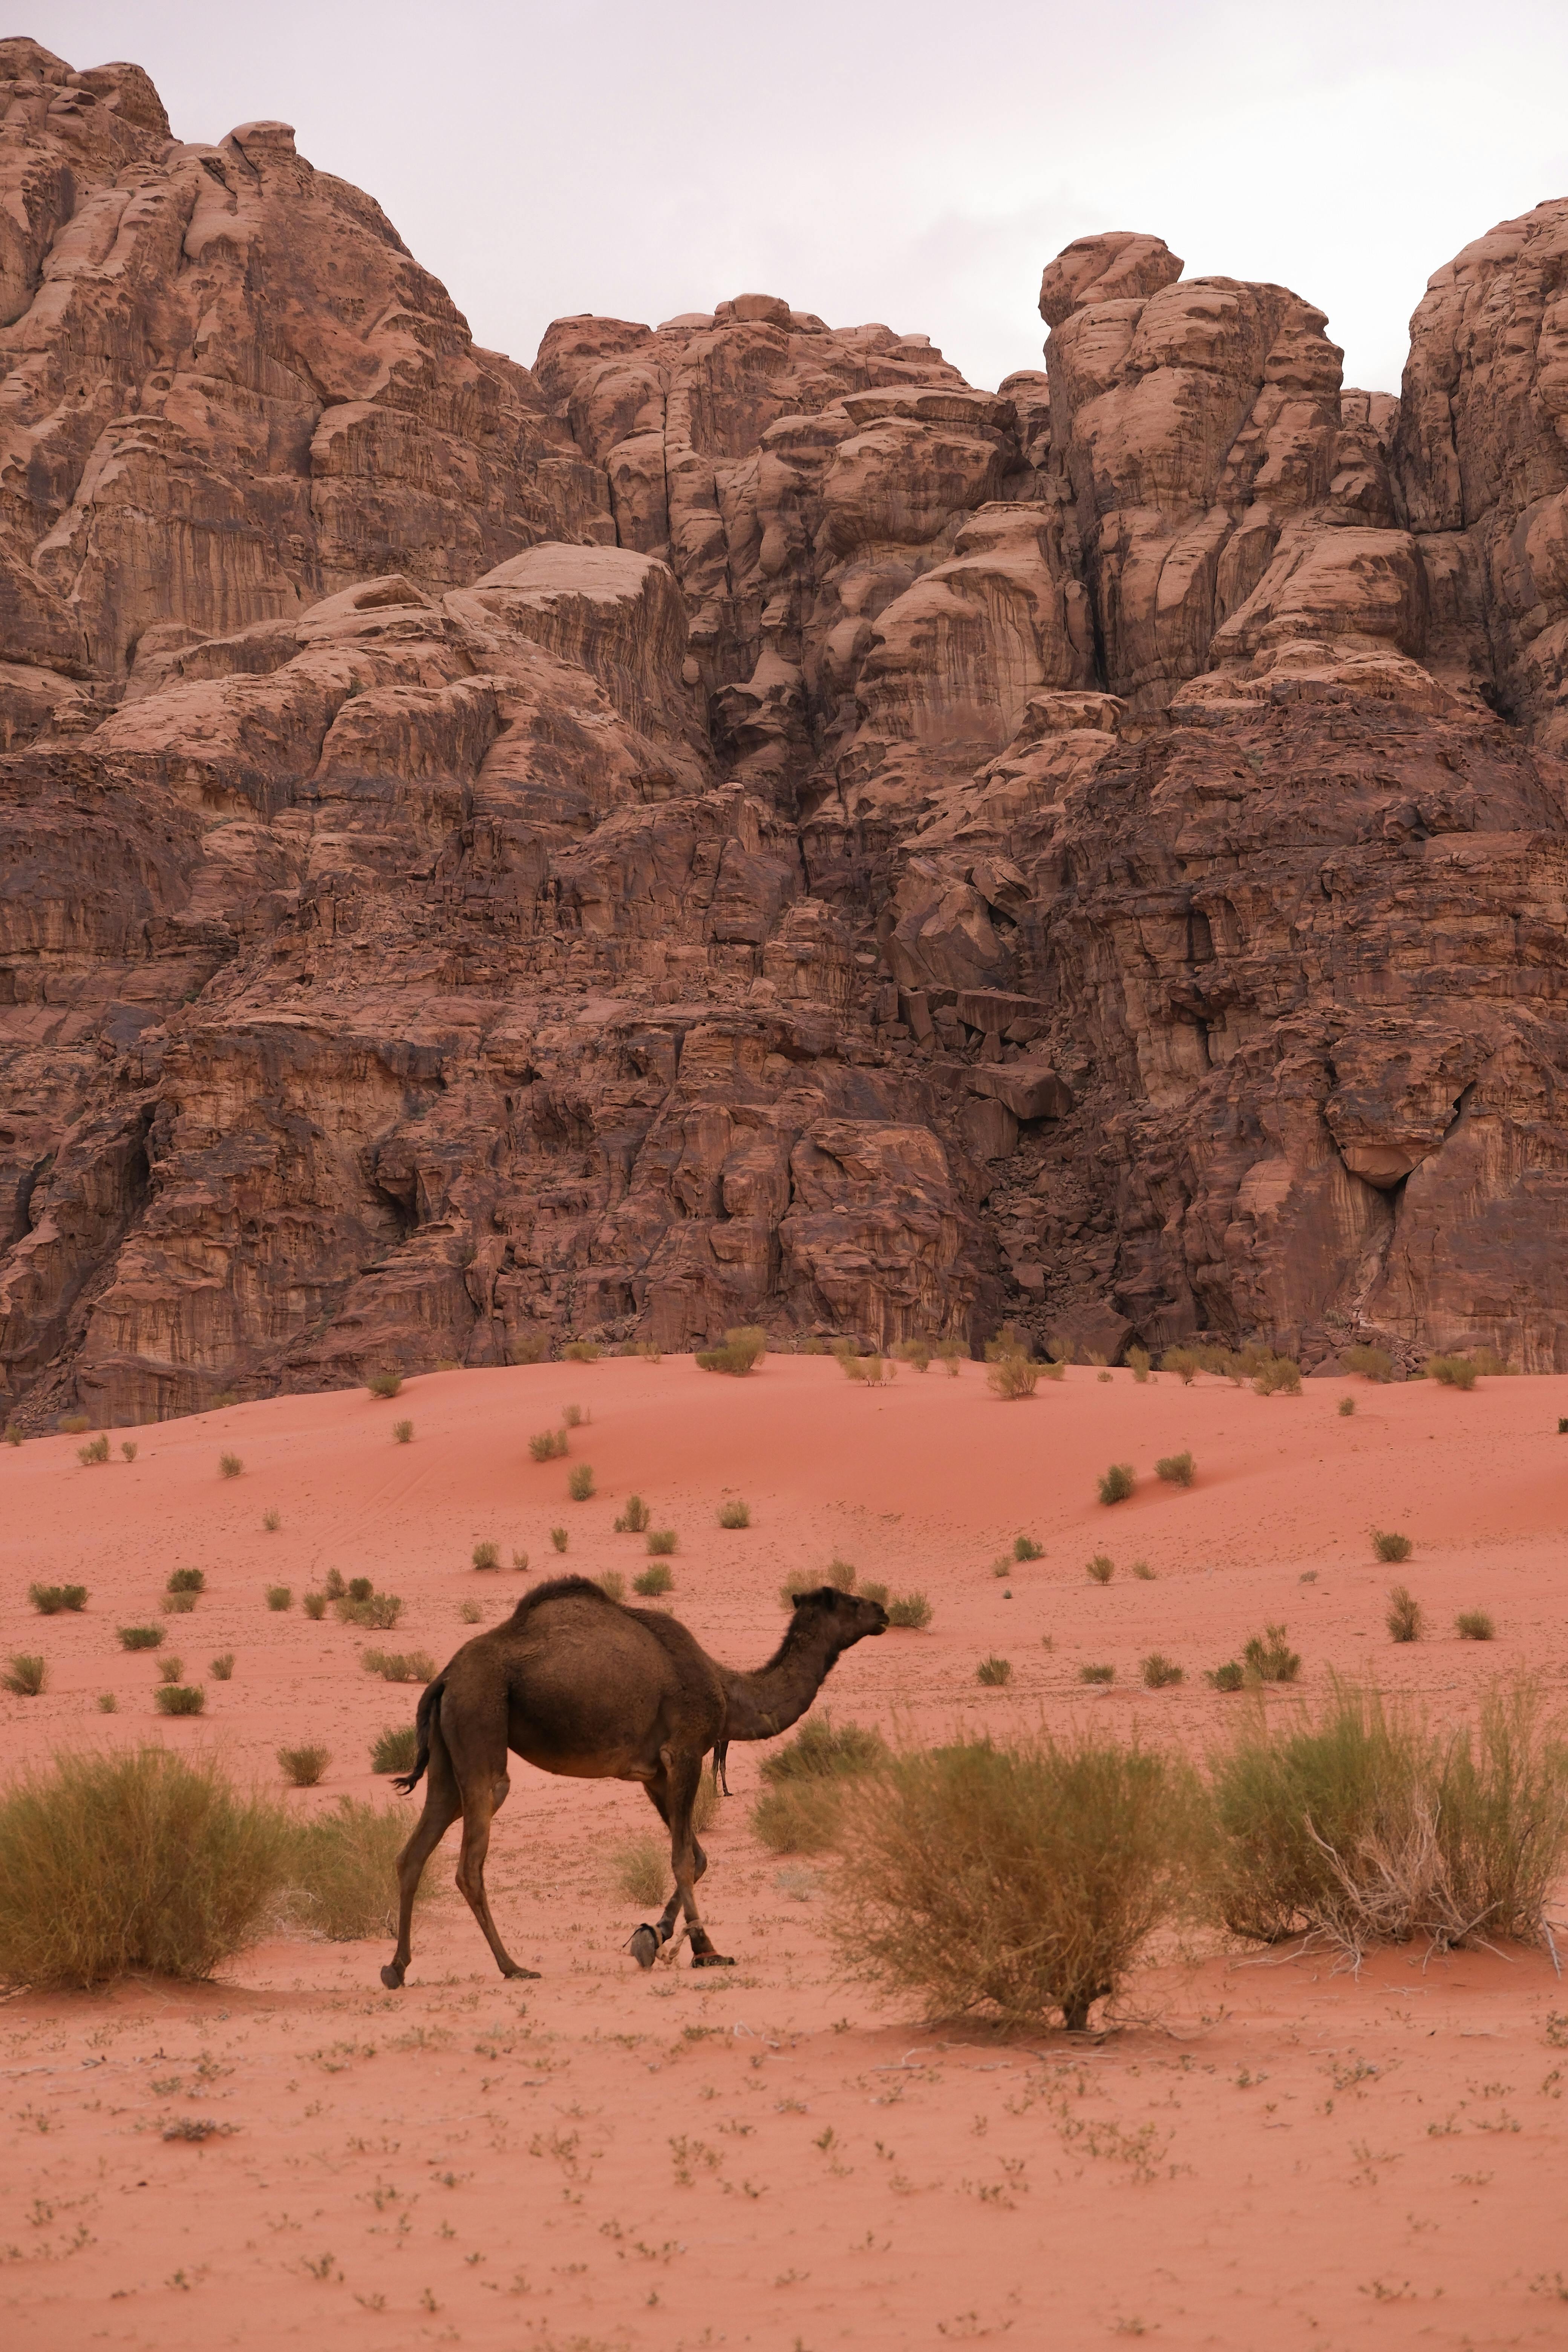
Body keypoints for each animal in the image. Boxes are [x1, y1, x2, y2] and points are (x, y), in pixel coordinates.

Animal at [380, 1574, 888, 1986]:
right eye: (849, 1600)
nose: (883, 1610)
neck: (727, 1692)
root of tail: (444, 1677)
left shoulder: (655, 1774)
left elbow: (698, 1857)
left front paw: (652, 1936)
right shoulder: (685, 1753)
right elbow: (682, 1859)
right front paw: (707, 1951)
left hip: (449, 1752)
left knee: (414, 1851)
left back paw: (397, 1967)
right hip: (480, 1718)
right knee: (470, 1861)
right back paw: (513, 1967)